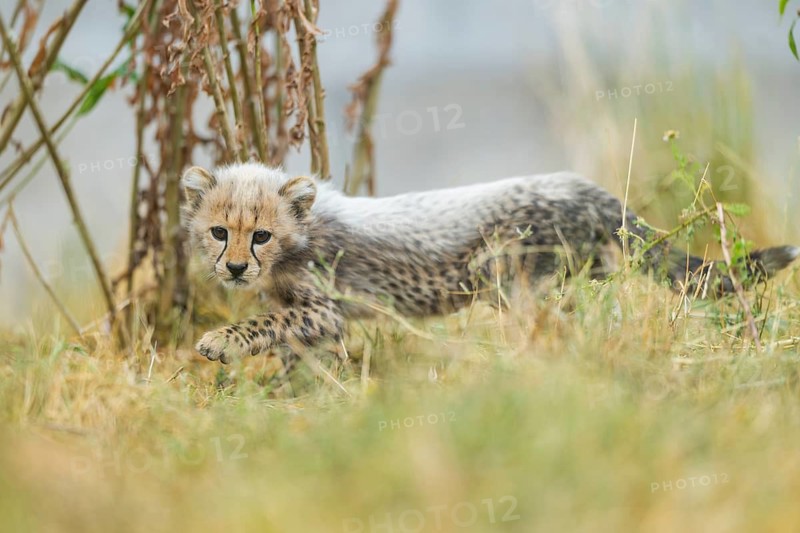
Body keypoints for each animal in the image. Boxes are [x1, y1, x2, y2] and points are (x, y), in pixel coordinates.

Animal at [181, 162, 798, 364]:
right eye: (220, 233)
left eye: (261, 235)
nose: (234, 270)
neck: (303, 235)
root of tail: (580, 185)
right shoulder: (317, 319)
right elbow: (299, 349)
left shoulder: (326, 308)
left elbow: (269, 323)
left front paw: (219, 343)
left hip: (523, 284)